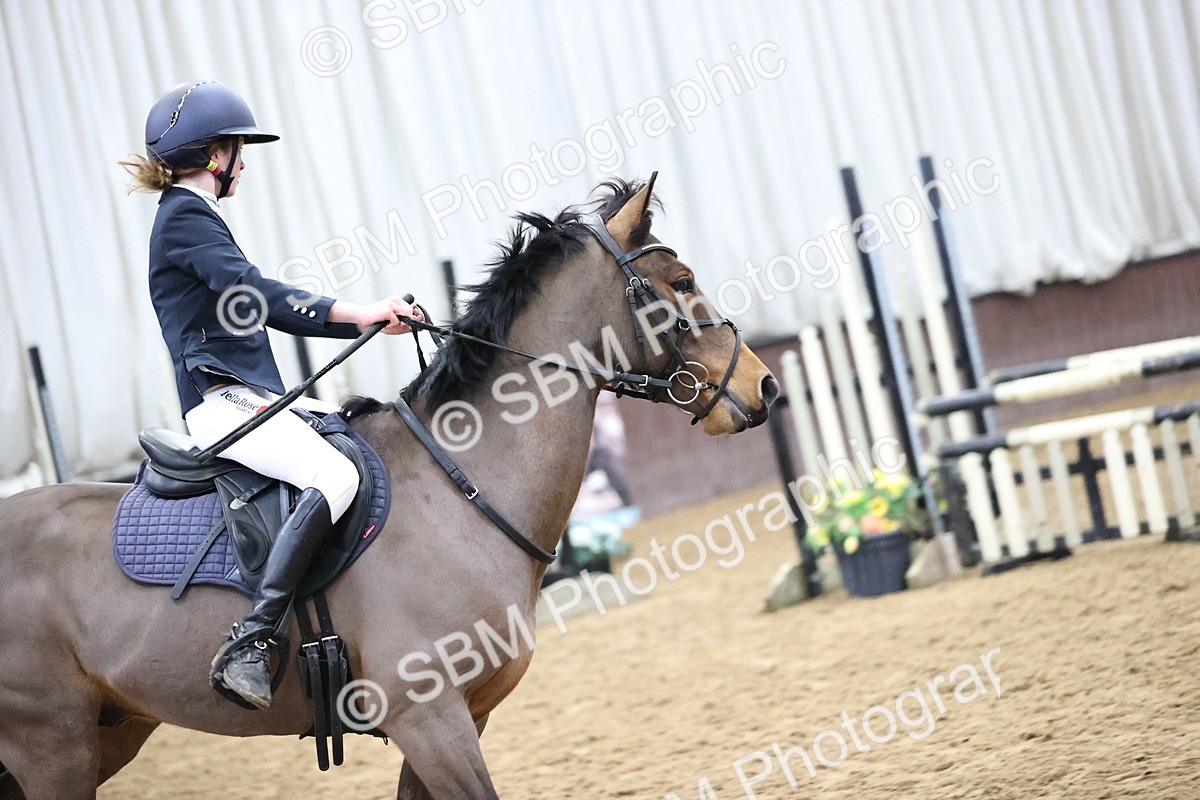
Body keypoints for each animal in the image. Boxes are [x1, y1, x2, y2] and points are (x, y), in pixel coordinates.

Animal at [0, 176, 777, 799]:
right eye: (681, 282)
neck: (461, 491)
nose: (763, 384)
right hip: (53, 743)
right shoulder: (428, 718)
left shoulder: (462, 718)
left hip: (108, 730)